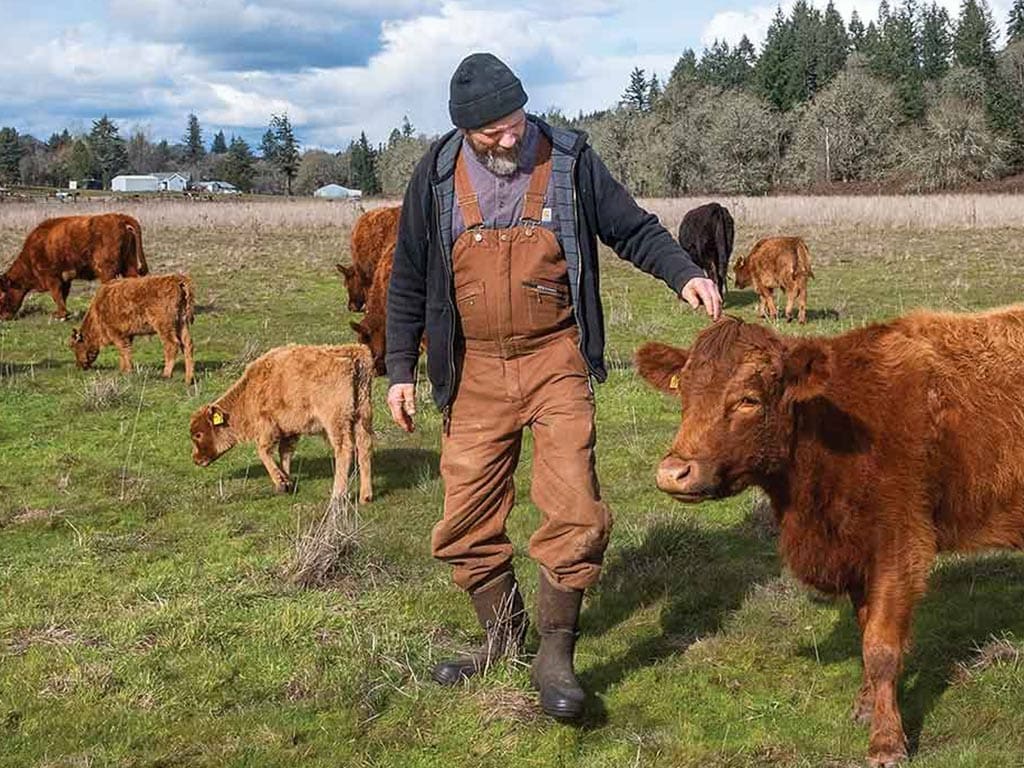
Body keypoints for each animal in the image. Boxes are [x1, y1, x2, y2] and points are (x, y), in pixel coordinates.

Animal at [0, 211, 149, 319]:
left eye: (2, 294)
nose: (2, 317)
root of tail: (119, 217)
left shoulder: (52, 278)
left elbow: (56, 295)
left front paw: (60, 315)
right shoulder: (64, 279)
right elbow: (63, 295)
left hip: (107, 270)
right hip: (129, 265)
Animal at [190, 344, 374, 505]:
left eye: (198, 434)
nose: (196, 459)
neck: (250, 392)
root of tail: (354, 354)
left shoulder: (268, 427)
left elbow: (263, 451)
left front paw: (281, 483)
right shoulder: (289, 430)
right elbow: (285, 453)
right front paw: (288, 481)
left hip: (336, 420)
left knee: (344, 448)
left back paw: (337, 495)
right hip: (362, 414)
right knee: (364, 445)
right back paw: (365, 496)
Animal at [634, 309, 1024, 765]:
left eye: (749, 399)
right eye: (684, 391)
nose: (673, 473)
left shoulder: (900, 544)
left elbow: (881, 646)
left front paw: (886, 741)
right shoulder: (855, 554)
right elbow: (864, 630)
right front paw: (866, 705)